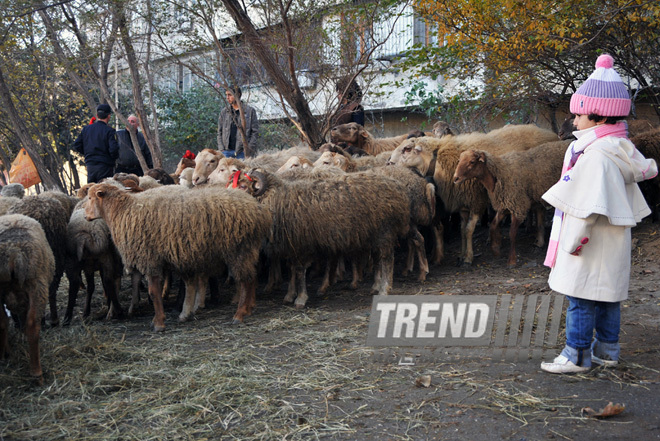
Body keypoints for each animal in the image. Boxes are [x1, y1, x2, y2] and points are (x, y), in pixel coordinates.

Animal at [0, 212, 54, 382]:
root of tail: (13, 252)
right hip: (37, 284)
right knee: (32, 325)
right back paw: (37, 373)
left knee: (3, 322)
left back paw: (4, 356)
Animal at [84, 180, 272, 328]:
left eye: (91, 198)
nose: (85, 216)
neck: (122, 212)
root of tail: (258, 210)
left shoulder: (149, 258)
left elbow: (154, 292)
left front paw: (158, 322)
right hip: (249, 249)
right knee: (251, 277)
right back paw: (249, 308)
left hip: (239, 249)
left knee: (245, 280)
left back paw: (239, 314)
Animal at [240, 167, 410, 308]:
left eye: (243, 186)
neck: (279, 199)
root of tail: (398, 187)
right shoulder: (292, 246)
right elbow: (292, 270)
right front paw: (290, 295)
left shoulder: (301, 245)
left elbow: (299, 271)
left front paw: (300, 299)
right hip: (373, 234)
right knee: (377, 259)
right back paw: (375, 286)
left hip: (385, 231)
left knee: (387, 260)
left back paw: (384, 289)